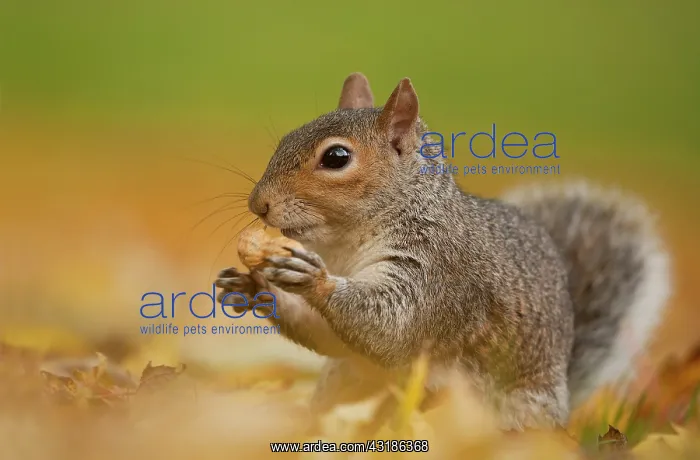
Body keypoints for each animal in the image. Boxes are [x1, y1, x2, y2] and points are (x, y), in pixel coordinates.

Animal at [214, 73, 672, 431]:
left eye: (337, 157)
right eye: (286, 138)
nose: (258, 204)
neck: (346, 243)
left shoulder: (439, 271)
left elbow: (392, 327)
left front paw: (314, 279)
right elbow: (331, 335)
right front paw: (255, 287)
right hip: (349, 377)